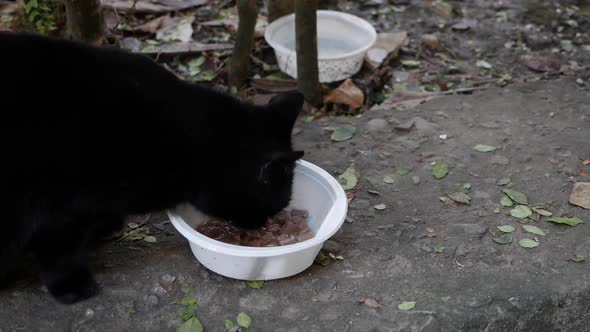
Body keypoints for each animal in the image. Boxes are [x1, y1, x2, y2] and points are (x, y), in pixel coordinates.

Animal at [0, 32, 306, 304]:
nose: (262, 226)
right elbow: (59, 252)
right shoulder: (59, 208)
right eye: (273, 208)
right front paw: (72, 286)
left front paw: (106, 227)